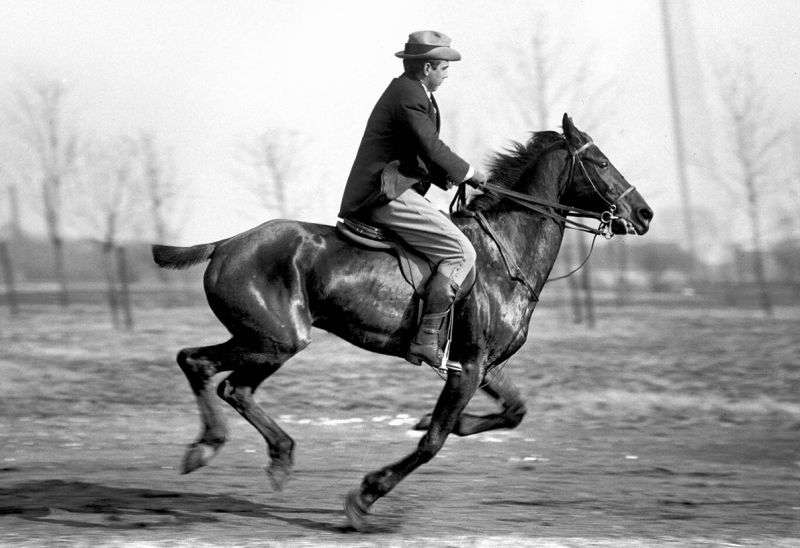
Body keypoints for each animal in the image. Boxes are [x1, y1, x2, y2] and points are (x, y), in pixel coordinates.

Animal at [152, 113, 656, 528]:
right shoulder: (468, 367)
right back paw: (218, 447)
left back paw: (270, 454)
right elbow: (433, 442)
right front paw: (364, 496)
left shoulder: (482, 365)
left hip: (266, 342)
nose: (645, 214)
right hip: (275, 340)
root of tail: (225, 244)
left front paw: (438, 422)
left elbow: (511, 412)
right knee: (207, 370)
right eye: (602, 162)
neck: (503, 254)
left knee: (222, 380)